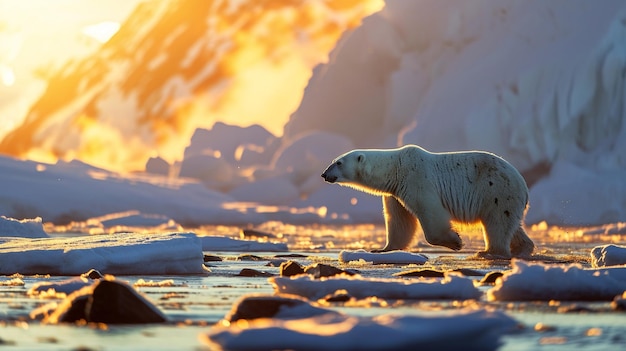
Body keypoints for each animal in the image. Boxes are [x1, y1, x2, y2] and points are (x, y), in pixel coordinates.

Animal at [322, 145, 532, 258]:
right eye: (333, 161)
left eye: (338, 163)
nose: (324, 174)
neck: (395, 168)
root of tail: (524, 185)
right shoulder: (394, 193)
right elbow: (399, 221)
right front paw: (382, 249)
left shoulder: (417, 179)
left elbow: (431, 213)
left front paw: (455, 241)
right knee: (511, 225)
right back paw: (522, 248)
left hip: (496, 191)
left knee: (497, 224)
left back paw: (489, 251)